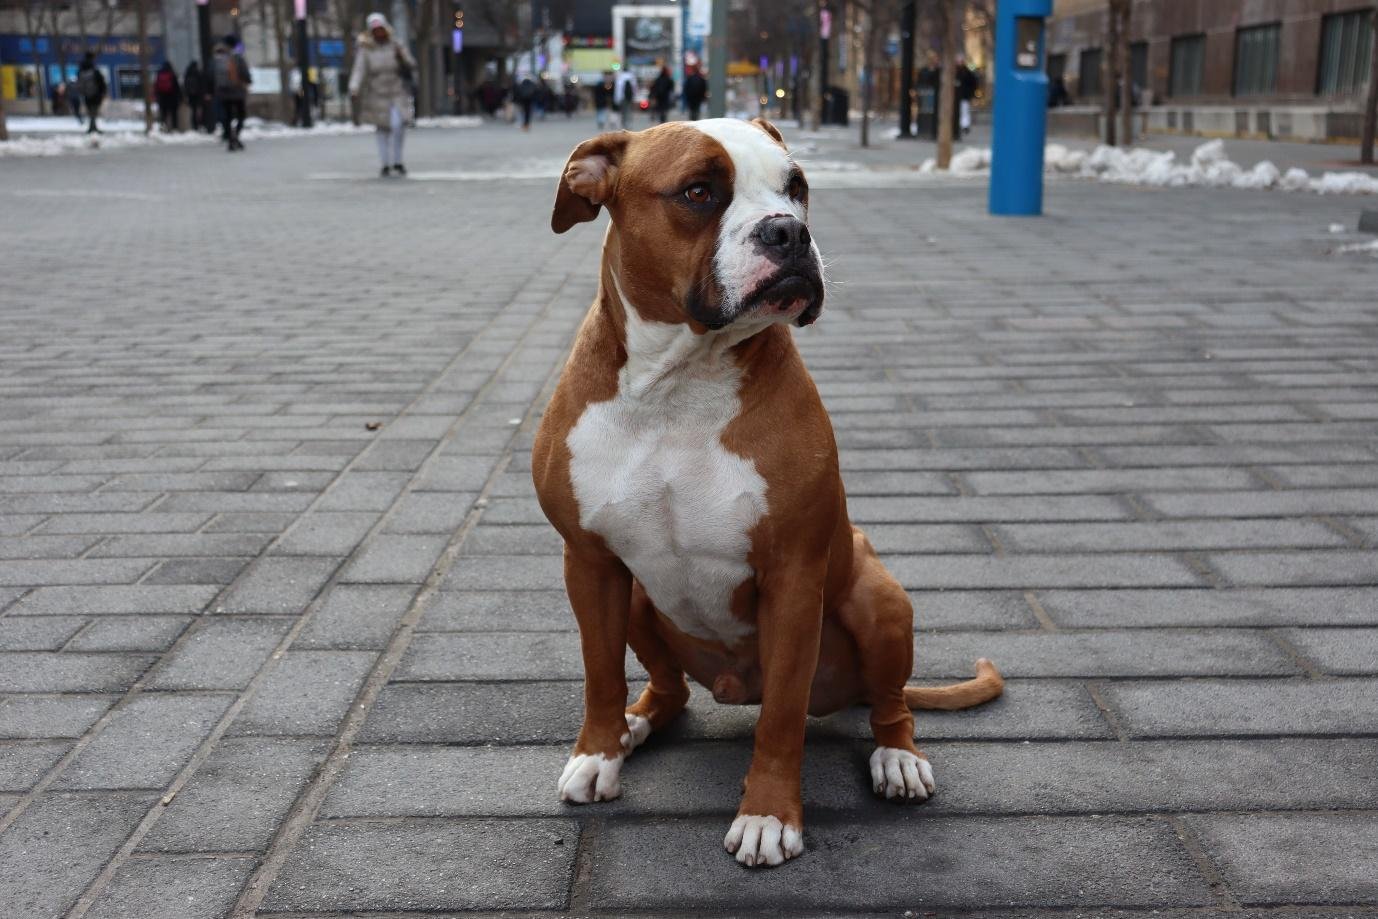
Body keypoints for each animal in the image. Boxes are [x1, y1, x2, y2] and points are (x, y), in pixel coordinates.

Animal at [529, 117, 1003, 870]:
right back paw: (635, 727)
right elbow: (599, 671)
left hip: (878, 598)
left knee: (889, 701)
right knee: (669, 690)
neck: (680, 385)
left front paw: (768, 816)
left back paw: (898, 759)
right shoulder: (590, 562)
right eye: (698, 191)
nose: (789, 232)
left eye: (797, 187)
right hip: (637, 597)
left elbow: (781, 717)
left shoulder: (794, 580)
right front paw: (597, 754)